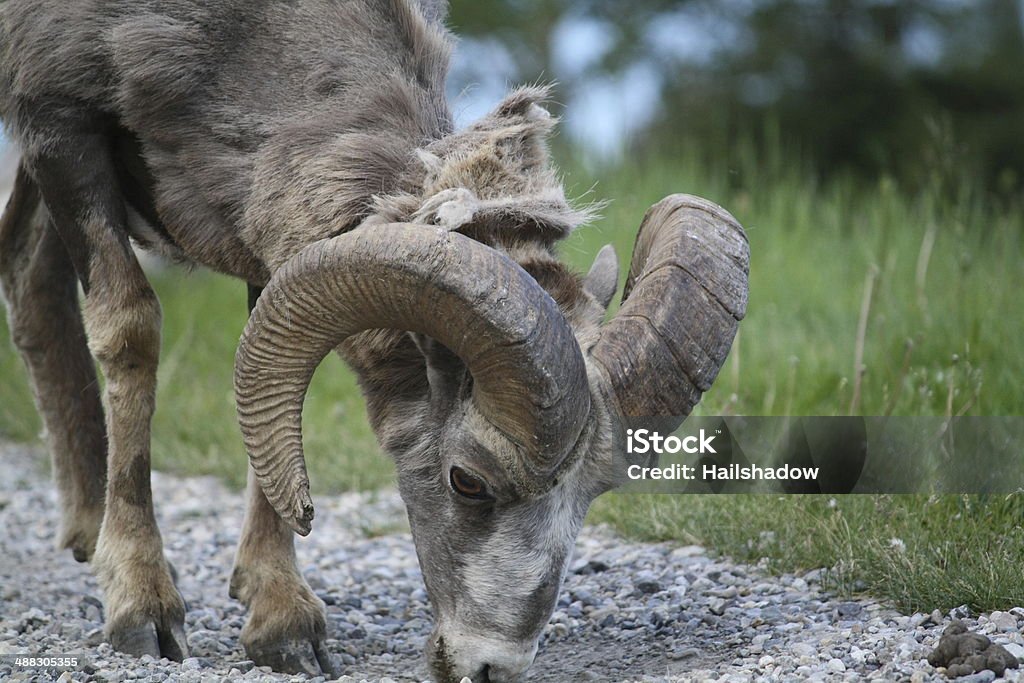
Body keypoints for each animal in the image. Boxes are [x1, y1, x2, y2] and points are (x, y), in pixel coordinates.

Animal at [0, 2, 749, 679]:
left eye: (594, 493)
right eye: (467, 481)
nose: (491, 666)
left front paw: (284, 627)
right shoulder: (59, 124)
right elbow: (130, 330)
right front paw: (144, 613)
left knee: (27, 268)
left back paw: (84, 532)